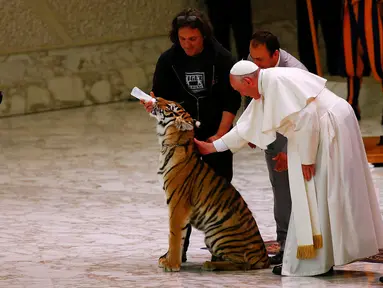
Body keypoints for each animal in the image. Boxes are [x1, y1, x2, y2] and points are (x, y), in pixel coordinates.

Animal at [148, 97, 272, 272]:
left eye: (170, 107)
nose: (156, 98)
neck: (168, 143)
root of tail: (265, 256)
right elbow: (180, 235)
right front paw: (168, 259)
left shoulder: (178, 204)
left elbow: (174, 234)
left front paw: (171, 264)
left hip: (218, 235)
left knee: (243, 263)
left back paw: (210, 264)